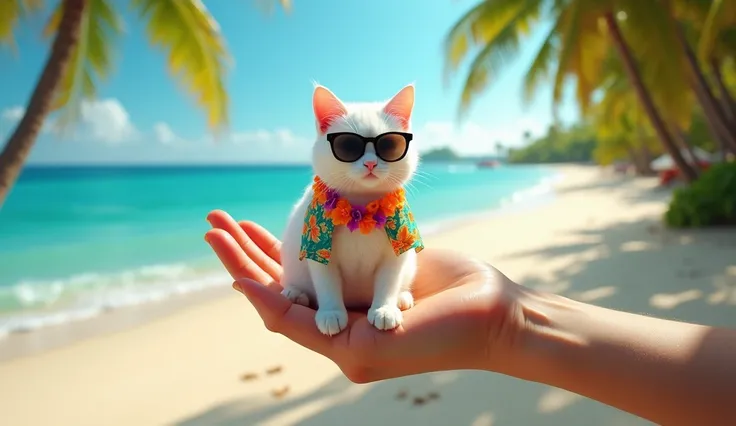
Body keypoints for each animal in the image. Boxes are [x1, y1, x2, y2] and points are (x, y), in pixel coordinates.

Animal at [280, 83, 420, 336]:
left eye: (389, 145)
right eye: (347, 145)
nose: (370, 163)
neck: (361, 209)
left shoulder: (395, 253)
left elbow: (388, 281)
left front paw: (384, 308)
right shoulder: (318, 250)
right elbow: (327, 284)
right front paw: (331, 313)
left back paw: (402, 297)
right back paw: (295, 293)